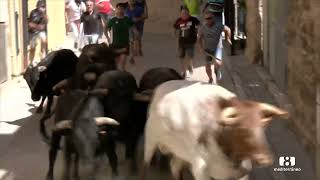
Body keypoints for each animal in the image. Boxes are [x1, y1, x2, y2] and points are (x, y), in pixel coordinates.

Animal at [141, 80, 288, 180]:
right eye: (242, 128)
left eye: (262, 126)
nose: (265, 159)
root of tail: (159, 89)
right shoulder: (200, 169)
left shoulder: (241, 174)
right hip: (150, 141)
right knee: (146, 164)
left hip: (180, 151)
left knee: (174, 166)